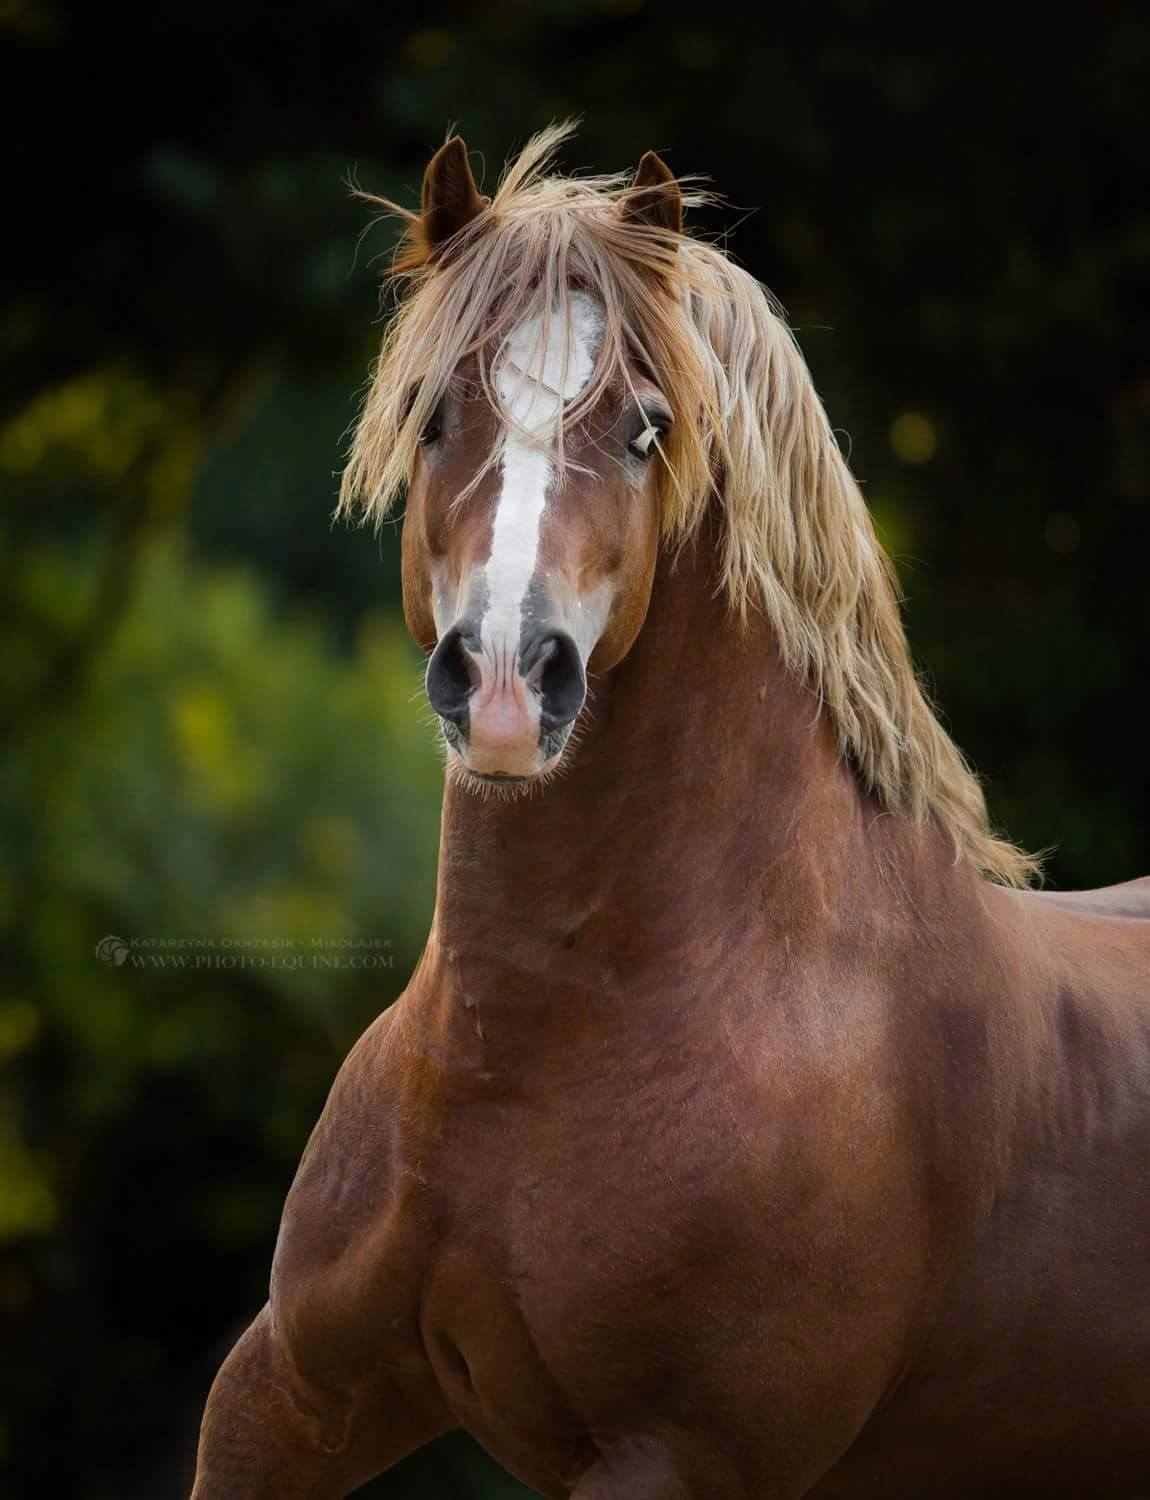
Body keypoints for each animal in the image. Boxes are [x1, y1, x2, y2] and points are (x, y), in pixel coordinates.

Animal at [191, 132, 1150, 1500]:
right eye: (432, 414)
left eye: (646, 429)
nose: (503, 682)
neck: (522, 1054)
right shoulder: (289, 1387)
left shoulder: (675, 1455)